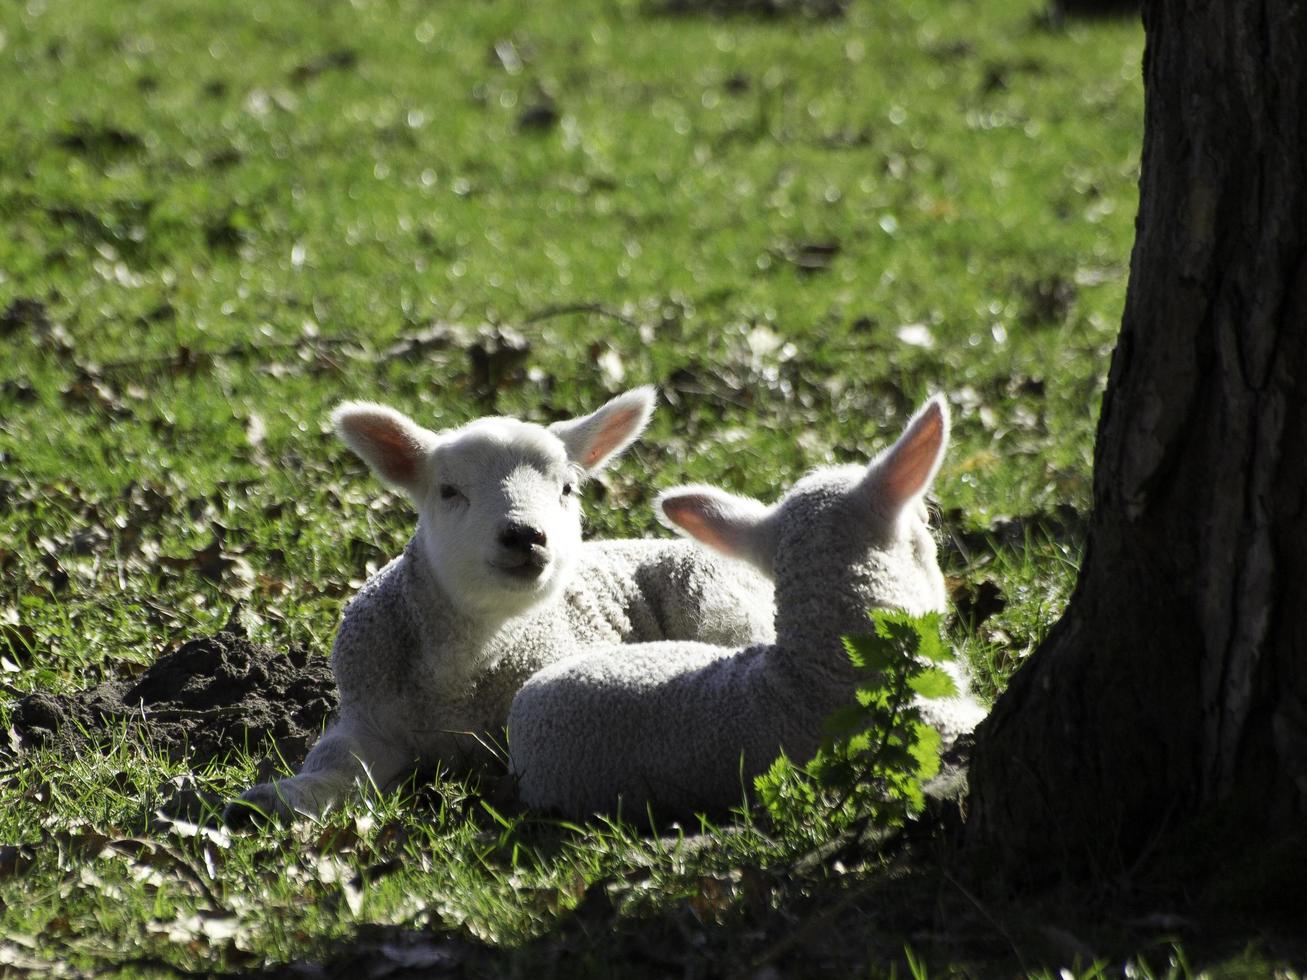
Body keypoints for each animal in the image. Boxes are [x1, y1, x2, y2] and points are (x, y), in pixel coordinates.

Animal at [230, 386, 768, 825]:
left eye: (567, 489)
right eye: (449, 490)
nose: (525, 535)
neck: (462, 677)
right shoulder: (368, 719)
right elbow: (336, 762)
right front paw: (281, 797)